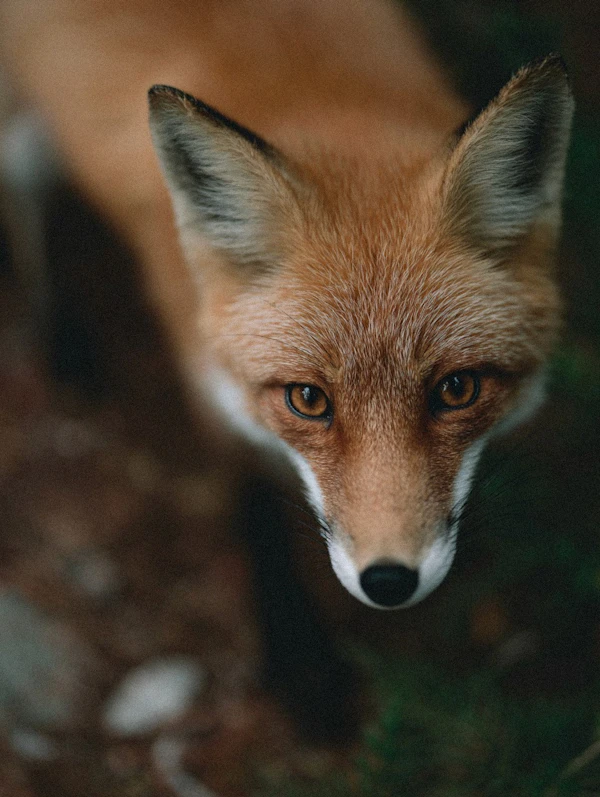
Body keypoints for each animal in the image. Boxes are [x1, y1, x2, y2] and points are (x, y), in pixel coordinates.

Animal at [0, 0, 573, 610]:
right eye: (307, 399)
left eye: (457, 389)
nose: (388, 581)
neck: (325, 101)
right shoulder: (206, 382)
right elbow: (254, 507)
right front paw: (290, 629)